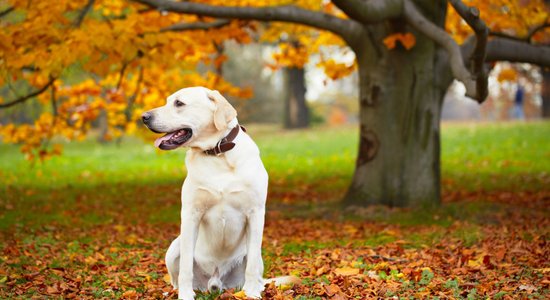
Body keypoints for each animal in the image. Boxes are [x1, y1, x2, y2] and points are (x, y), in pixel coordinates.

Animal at [142, 86, 298, 300]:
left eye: (179, 103)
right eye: (168, 101)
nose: (144, 117)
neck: (217, 154)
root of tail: (215, 283)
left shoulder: (256, 212)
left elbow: (251, 266)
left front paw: (251, 294)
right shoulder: (190, 214)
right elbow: (185, 267)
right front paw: (185, 295)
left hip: (257, 257)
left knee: (256, 271)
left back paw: (254, 288)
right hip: (174, 248)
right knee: (176, 276)